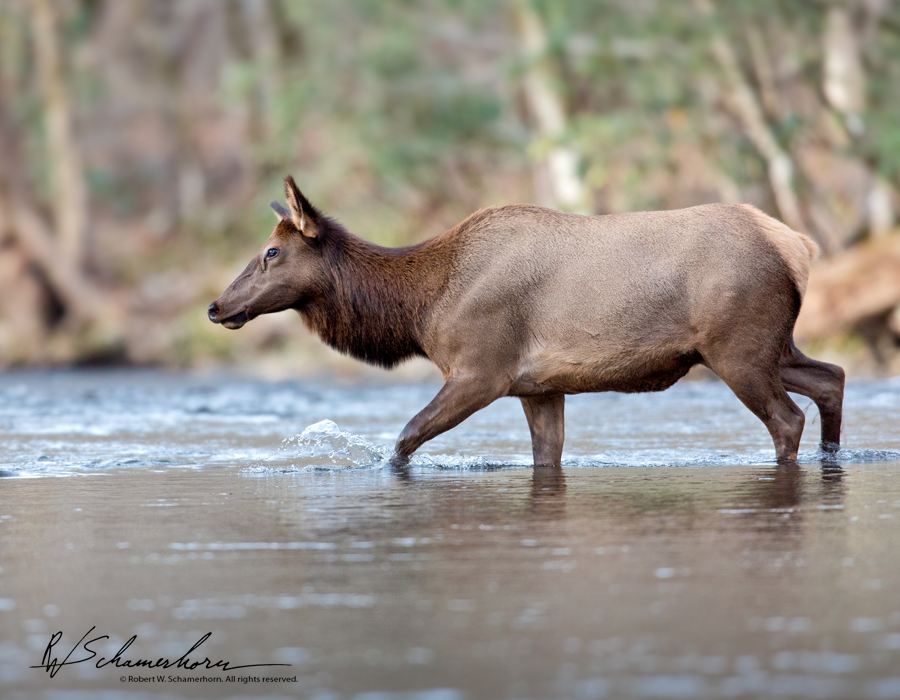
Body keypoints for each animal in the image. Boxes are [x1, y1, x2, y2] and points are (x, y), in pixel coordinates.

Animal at [209, 178, 844, 468]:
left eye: (271, 252)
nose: (216, 306)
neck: (420, 308)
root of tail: (799, 247)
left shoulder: (481, 368)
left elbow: (406, 436)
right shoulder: (539, 386)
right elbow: (547, 454)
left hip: (737, 346)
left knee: (788, 418)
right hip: (771, 345)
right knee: (831, 377)